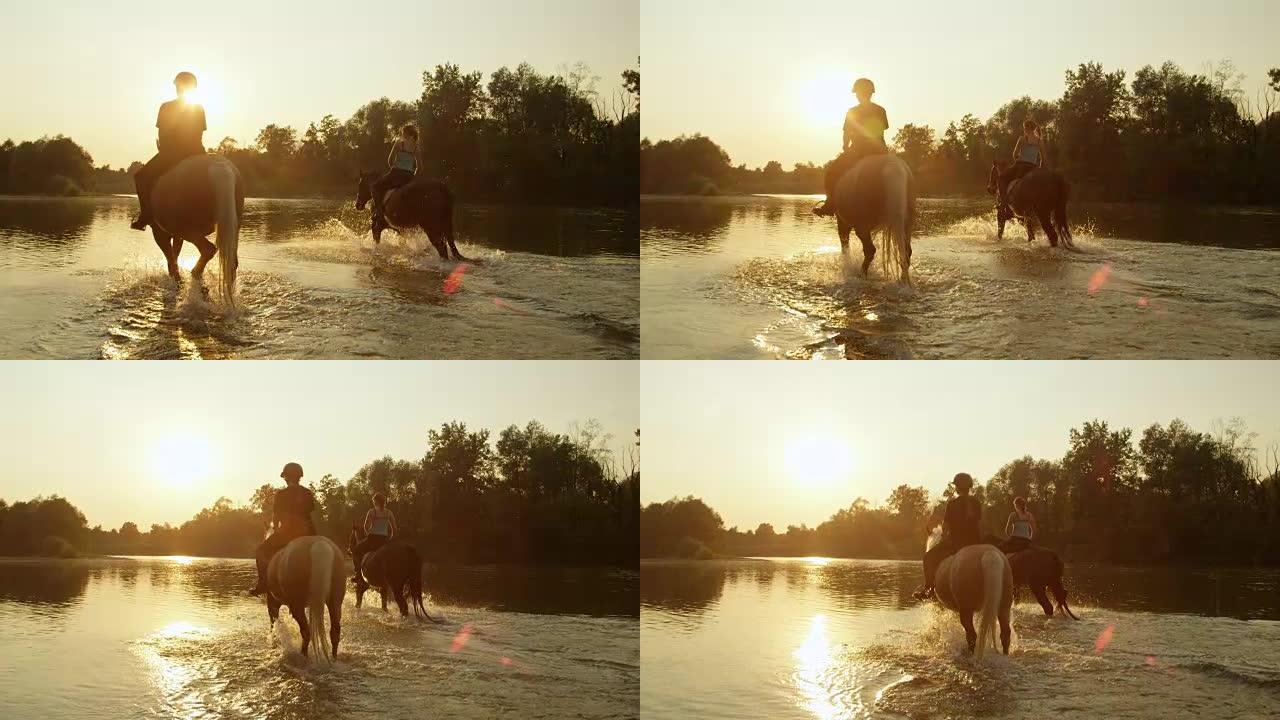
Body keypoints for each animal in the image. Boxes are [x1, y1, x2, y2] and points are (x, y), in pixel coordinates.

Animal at [148, 154, 243, 304]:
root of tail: (219, 166)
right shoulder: (175, 235)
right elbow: (175, 253)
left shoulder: (159, 232)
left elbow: (170, 256)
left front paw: (176, 281)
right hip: (232, 226)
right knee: (231, 263)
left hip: (188, 229)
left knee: (208, 249)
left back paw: (196, 278)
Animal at [834, 154, 916, 283]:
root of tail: (893, 168)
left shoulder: (842, 221)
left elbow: (845, 244)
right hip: (907, 224)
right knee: (907, 251)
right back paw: (903, 278)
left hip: (861, 226)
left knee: (870, 250)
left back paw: (861, 274)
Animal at [926, 525, 1013, 661]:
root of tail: (990, 555)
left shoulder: (940, 605)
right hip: (1004, 606)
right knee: (1005, 633)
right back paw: (1005, 655)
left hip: (966, 609)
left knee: (972, 634)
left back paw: (969, 654)